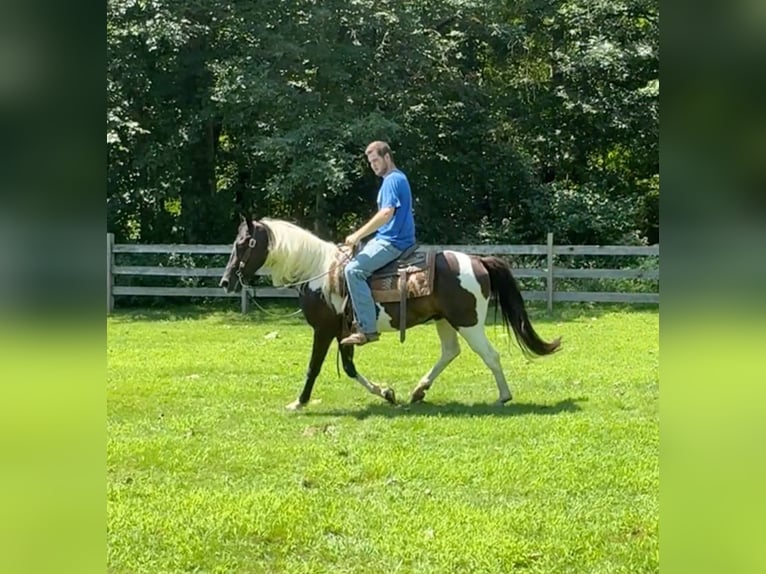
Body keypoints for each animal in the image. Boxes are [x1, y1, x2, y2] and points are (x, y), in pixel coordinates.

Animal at [219, 216, 560, 410]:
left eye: (245, 242)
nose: (225, 281)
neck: (318, 272)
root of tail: (478, 261)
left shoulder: (325, 329)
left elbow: (313, 368)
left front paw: (298, 403)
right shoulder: (344, 333)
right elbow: (349, 367)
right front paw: (387, 393)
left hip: (469, 322)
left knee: (490, 355)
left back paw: (503, 396)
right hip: (446, 321)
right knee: (450, 352)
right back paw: (419, 391)